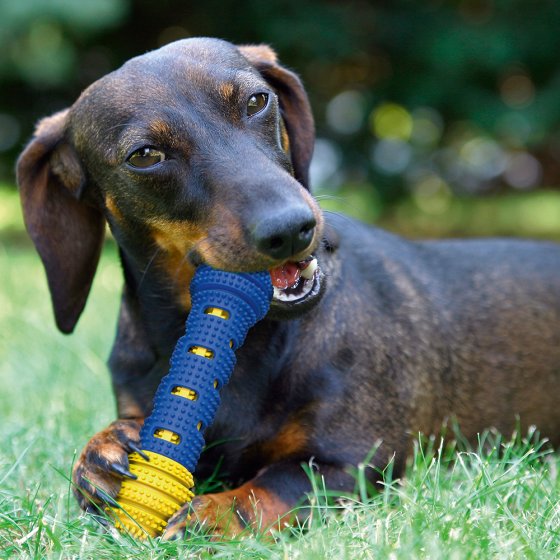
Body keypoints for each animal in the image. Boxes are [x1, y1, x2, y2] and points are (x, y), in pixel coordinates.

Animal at [14, 38, 560, 540]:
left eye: (257, 100)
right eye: (145, 155)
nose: (292, 228)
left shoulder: (357, 462)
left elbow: (274, 487)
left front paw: (214, 514)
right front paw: (100, 455)